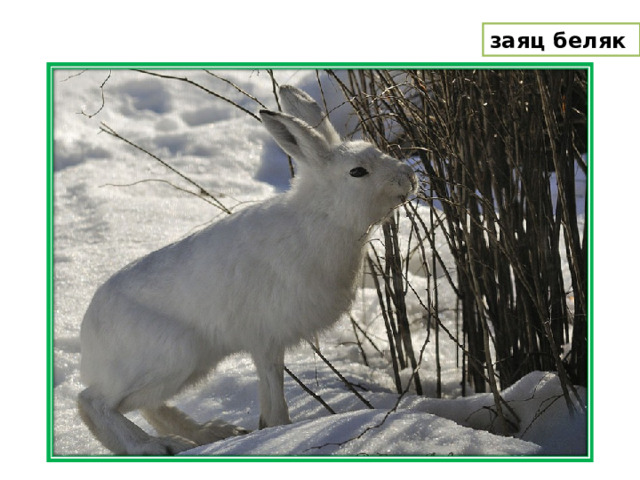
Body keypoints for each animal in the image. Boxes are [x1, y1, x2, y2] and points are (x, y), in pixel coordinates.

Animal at [77, 85, 418, 455]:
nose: (409, 178)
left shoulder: (268, 343)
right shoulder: (266, 337)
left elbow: (270, 390)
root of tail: (88, 339)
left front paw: (266, 429)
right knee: (93, 404)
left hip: (190, 365)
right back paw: (152, 447)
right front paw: (280, 430)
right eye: (358, 172)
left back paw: (209, 433)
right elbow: (273, 388)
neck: (323, 214)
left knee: (147, 406)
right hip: (171, 356)